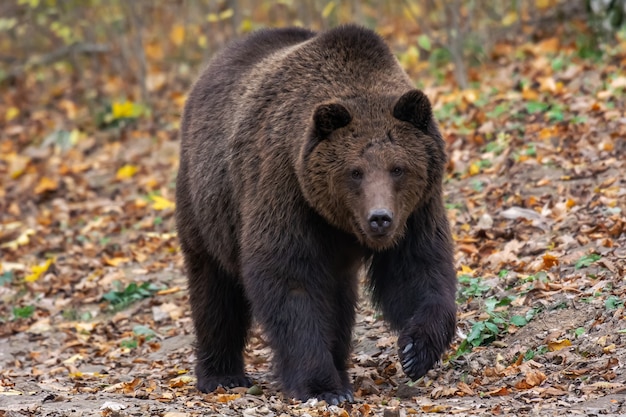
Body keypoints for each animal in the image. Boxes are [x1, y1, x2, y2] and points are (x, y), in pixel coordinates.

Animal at [173, 23, 456, 404]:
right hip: (207, 206)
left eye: (398, 168)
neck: (340, 222)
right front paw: (323, 387)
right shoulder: (286, 191)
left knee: (339, 299)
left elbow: (418, 270)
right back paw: (221, 374)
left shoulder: (416, 211)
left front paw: (416, 351)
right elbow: (291, 281)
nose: (379, 218)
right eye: (355, 171)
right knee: (214, 291)